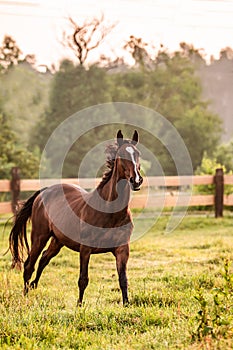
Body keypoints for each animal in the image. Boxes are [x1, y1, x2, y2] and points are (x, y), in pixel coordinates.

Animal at [9, 130, 143, 304]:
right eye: (121, 155)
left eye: (138, 154)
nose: (137, 180)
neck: (109, 212)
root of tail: (44, 192)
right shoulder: (85, 249)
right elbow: (83, 279)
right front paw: (79, 305)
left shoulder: (122, 250)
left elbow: (123, 279)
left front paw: (126, 305)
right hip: (39, 237)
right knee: (29, 266)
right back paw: (26, 296)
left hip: (58, 240)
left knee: (44, 259)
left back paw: (33, 286)